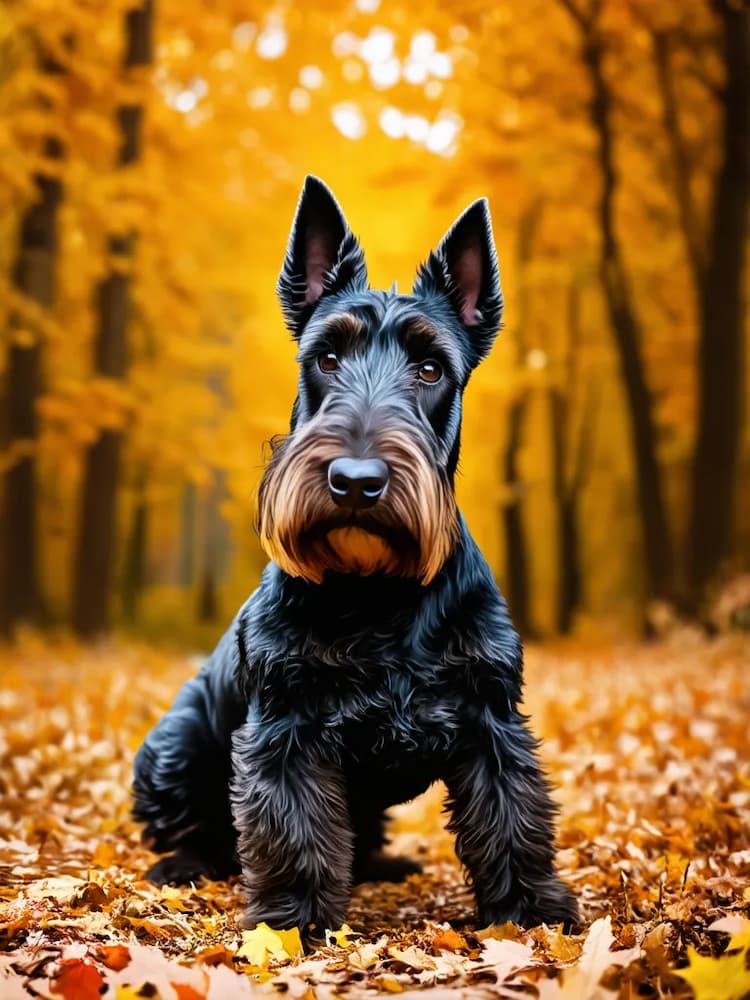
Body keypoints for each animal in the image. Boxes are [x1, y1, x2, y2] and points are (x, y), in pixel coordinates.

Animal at [134, 176, 580, 932]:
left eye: (430, 368)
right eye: (327, 358)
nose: (356, 481)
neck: (376, 587)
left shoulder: (490, 714)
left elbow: (511, 816)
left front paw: (531, 908)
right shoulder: (285, 726)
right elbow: (295, 828)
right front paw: (291, 921)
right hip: (174, 744)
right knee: (196, 825)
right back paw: (183, 866)